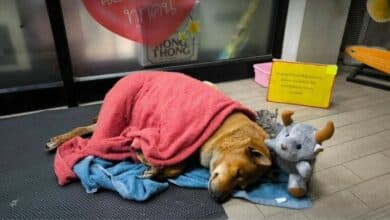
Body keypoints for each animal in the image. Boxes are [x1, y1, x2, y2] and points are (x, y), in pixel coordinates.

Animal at [46, 72, 272, 203]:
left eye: (241, 187)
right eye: (237, 173)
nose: (217, 199)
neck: (226, 132)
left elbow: (178, 166)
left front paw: (155, 170)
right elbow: (176, 164)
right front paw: (150, 163)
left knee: (89, 129)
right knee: (88, 129)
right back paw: (57, 140)